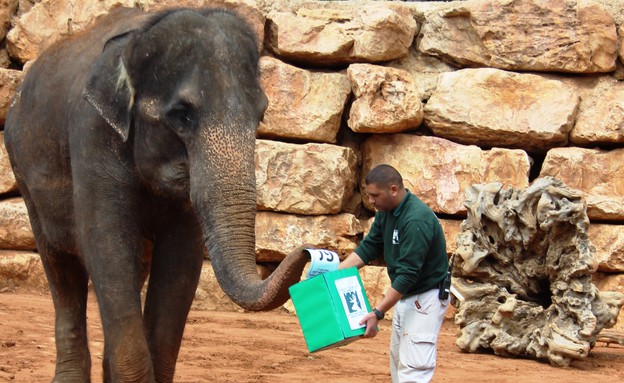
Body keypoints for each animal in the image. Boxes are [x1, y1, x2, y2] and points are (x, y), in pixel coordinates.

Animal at [3, 6, 310, 383]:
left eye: (261, 114)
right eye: (182, 115)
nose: (309, 251)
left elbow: (180, 261)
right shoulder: (92, 133)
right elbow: (107, 247)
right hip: (24, 170)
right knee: (60, 266)